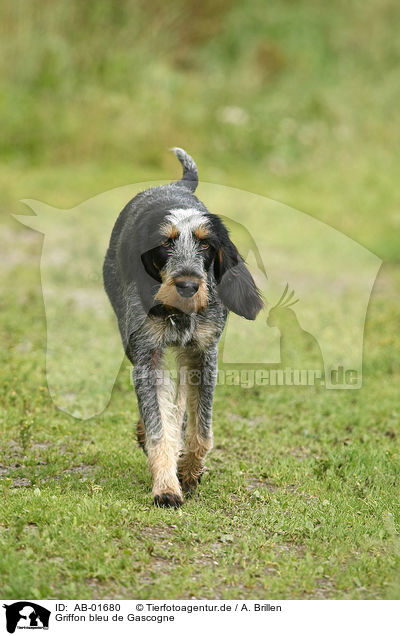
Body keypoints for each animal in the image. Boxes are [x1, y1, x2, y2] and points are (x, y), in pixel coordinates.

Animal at [104, 148, 262, 506]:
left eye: (205, 244)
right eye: (165, 243)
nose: (189, 285)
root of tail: (177, 185)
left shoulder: (204, 355)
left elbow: (200, 429)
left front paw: (189, 471)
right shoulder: (147, 355)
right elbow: (159, 426)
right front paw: (166, 486)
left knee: (180, 405)